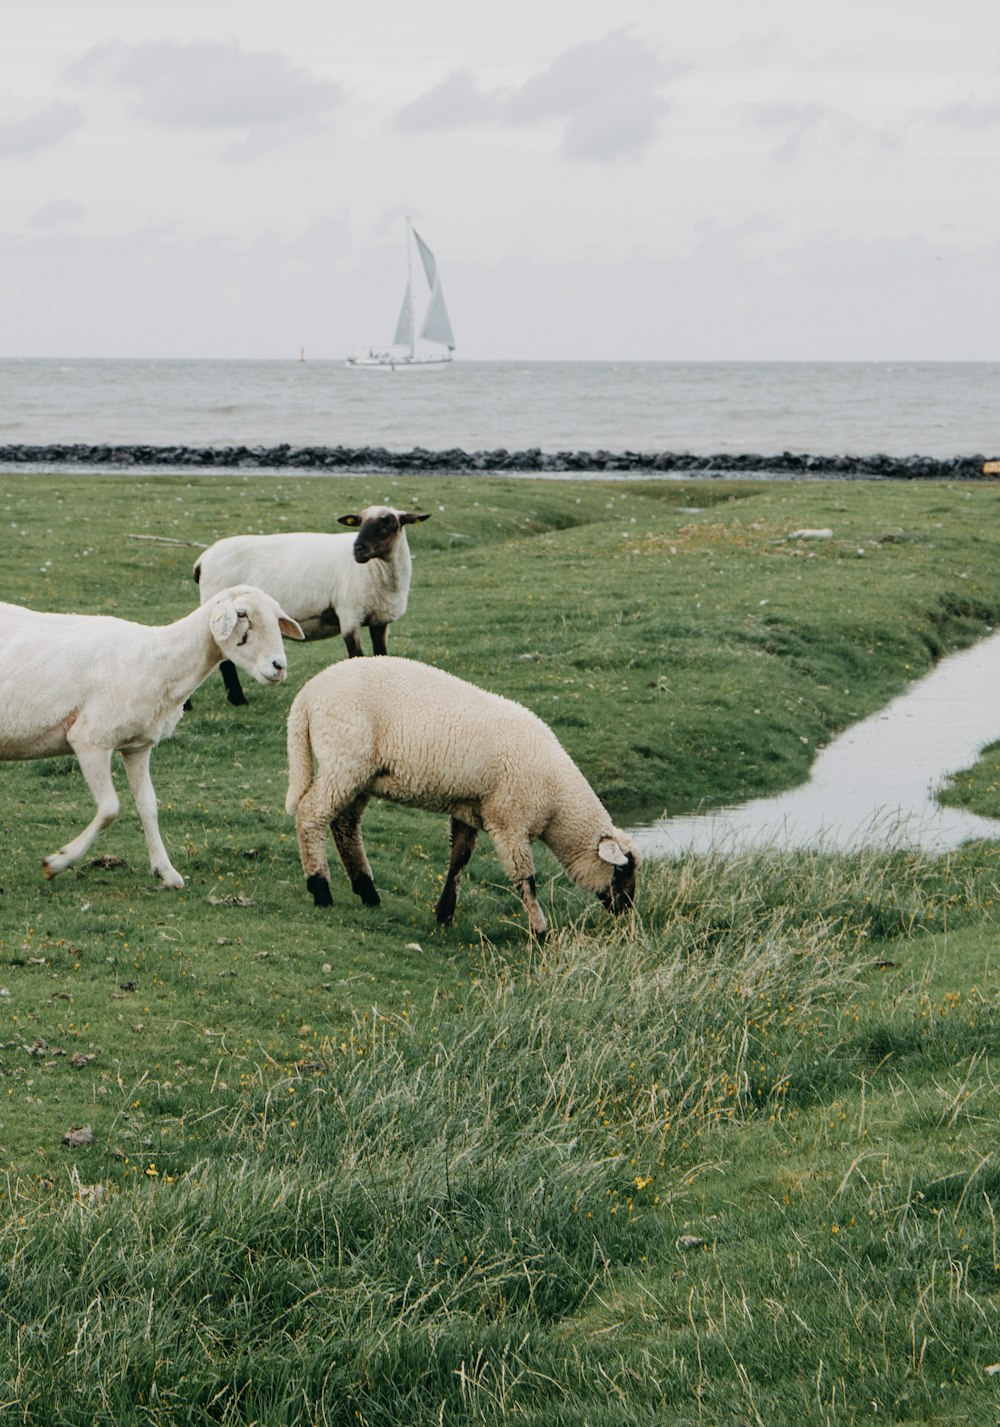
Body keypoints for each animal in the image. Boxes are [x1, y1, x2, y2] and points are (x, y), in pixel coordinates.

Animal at [0, 585, 303, 884]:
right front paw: (58, 862)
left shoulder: (137, 746)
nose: (279, 666)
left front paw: (165, 871)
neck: (157, 660)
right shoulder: (89, 738)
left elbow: (148, 806)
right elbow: (109, 808)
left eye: (277, 618)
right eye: (242, 614)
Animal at [192, 508, 430, 707]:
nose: (358, 549)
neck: (378, 571)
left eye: (388, 522)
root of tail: (202, 559)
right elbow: (357, 657)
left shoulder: (380, 619)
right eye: (359, 522)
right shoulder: (350, 616)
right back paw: (236, 700)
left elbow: (381, 655)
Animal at [281, 656, 639, 947]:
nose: (627, 913)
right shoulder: (509, 821)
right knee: (311, 815)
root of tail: (306, 696)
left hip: (360, 774)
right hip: (344, 760)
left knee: (345, 825)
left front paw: (444, 914)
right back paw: (320, 888)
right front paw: (540, 932)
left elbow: (459, 860)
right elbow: (525, 880)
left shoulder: (471, 809)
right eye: (622, 871)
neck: (557, 804)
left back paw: (367, 891)